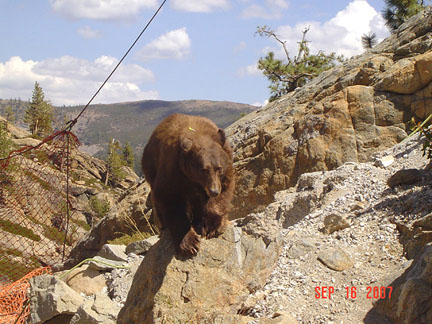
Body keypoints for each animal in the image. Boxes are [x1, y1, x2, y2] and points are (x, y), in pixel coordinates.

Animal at [142, 113, 235, 256]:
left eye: (219, 168)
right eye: (203, 169)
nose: (213, 191)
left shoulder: (226, 162)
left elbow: (224, 190)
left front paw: (211, 226)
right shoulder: (172, 170)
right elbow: (170, 200)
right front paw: (189, 243)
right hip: (151, 168)